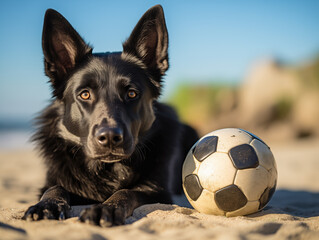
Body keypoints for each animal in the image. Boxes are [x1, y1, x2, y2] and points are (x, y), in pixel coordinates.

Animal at [23, 5, 198, 227]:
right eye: (85, 94)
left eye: (131, 93)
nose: (109, 138)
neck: (107, 170)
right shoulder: (53, 179)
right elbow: (55, 188)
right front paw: (47, 205)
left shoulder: (158, 191)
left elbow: (126, 192)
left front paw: (106, 207)